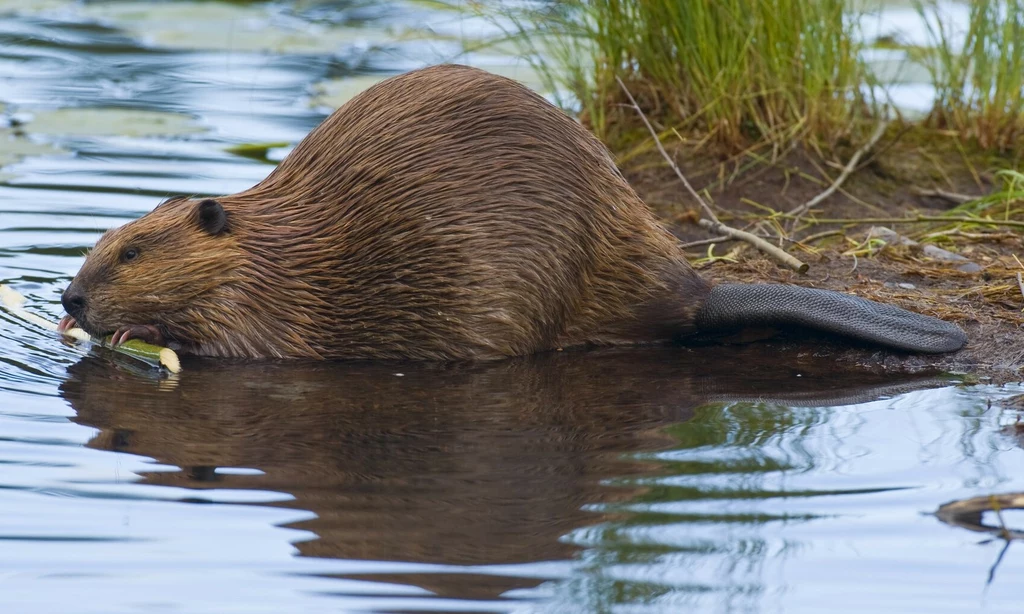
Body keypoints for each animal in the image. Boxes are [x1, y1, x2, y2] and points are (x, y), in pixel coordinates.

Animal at [58, 63, 966, 360]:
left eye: (133, 252)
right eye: (104, 240)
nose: (69, 295)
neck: (272, 244)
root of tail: (699, 292)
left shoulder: (276, 301)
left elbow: (243, 346)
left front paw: (132, 331)